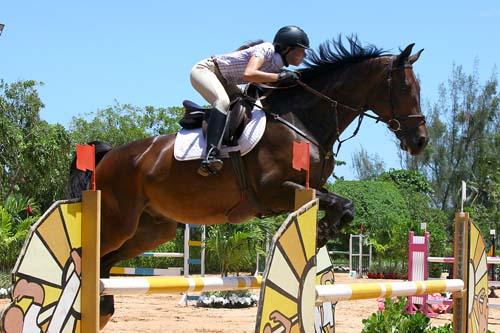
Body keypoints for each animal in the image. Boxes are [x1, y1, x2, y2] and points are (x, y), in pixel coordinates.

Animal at [65, 37, 426, 326]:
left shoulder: (309, 188)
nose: (420, 141)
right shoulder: (274, 192)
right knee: (91, 257)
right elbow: (340, 204)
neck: (302, 120)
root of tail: (108, 156)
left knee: (106, 263)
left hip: (152, 230)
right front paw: (322, 231)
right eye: (405, 88)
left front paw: (322, 233)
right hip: (118, 222)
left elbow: (345, 206)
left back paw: (103, 308)